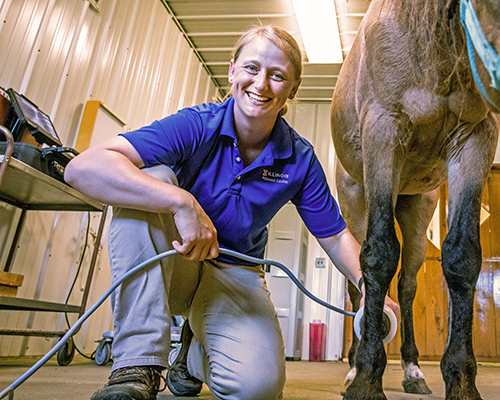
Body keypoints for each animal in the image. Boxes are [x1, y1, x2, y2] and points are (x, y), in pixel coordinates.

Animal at [328, 0, 500, 396]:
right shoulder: (383, 130)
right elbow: (378, 256)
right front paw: (365, 379)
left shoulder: (475, 139)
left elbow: (462, 256)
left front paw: (461, 381)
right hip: (356, 203)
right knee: (358, 287)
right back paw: (352, 370)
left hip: (418, 214)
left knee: (406, 286)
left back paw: (412, 370)